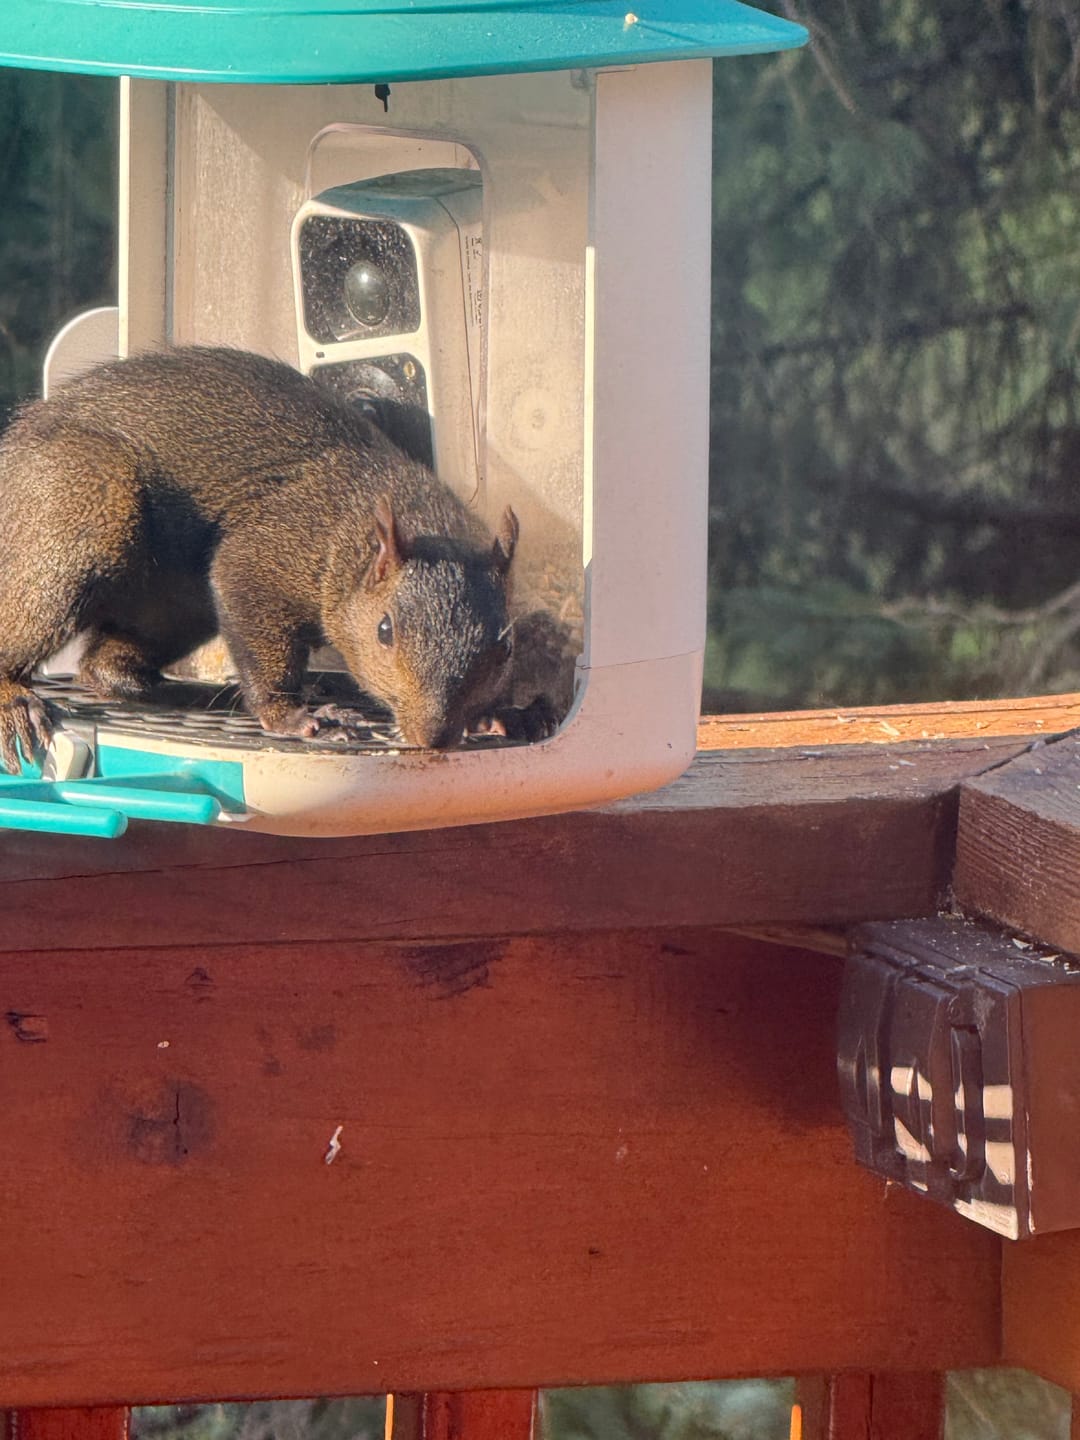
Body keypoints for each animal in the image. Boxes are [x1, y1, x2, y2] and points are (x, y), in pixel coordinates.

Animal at [0, 345, 552, 774]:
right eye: (385, 630)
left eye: (506, 647)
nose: (434, 736)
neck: (349, 527)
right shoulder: (262, 555)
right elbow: (259, 623)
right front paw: (298, 719)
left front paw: (506, 713)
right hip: (80, 510)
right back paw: (15, 701)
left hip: (174, 607)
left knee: (104, 668)